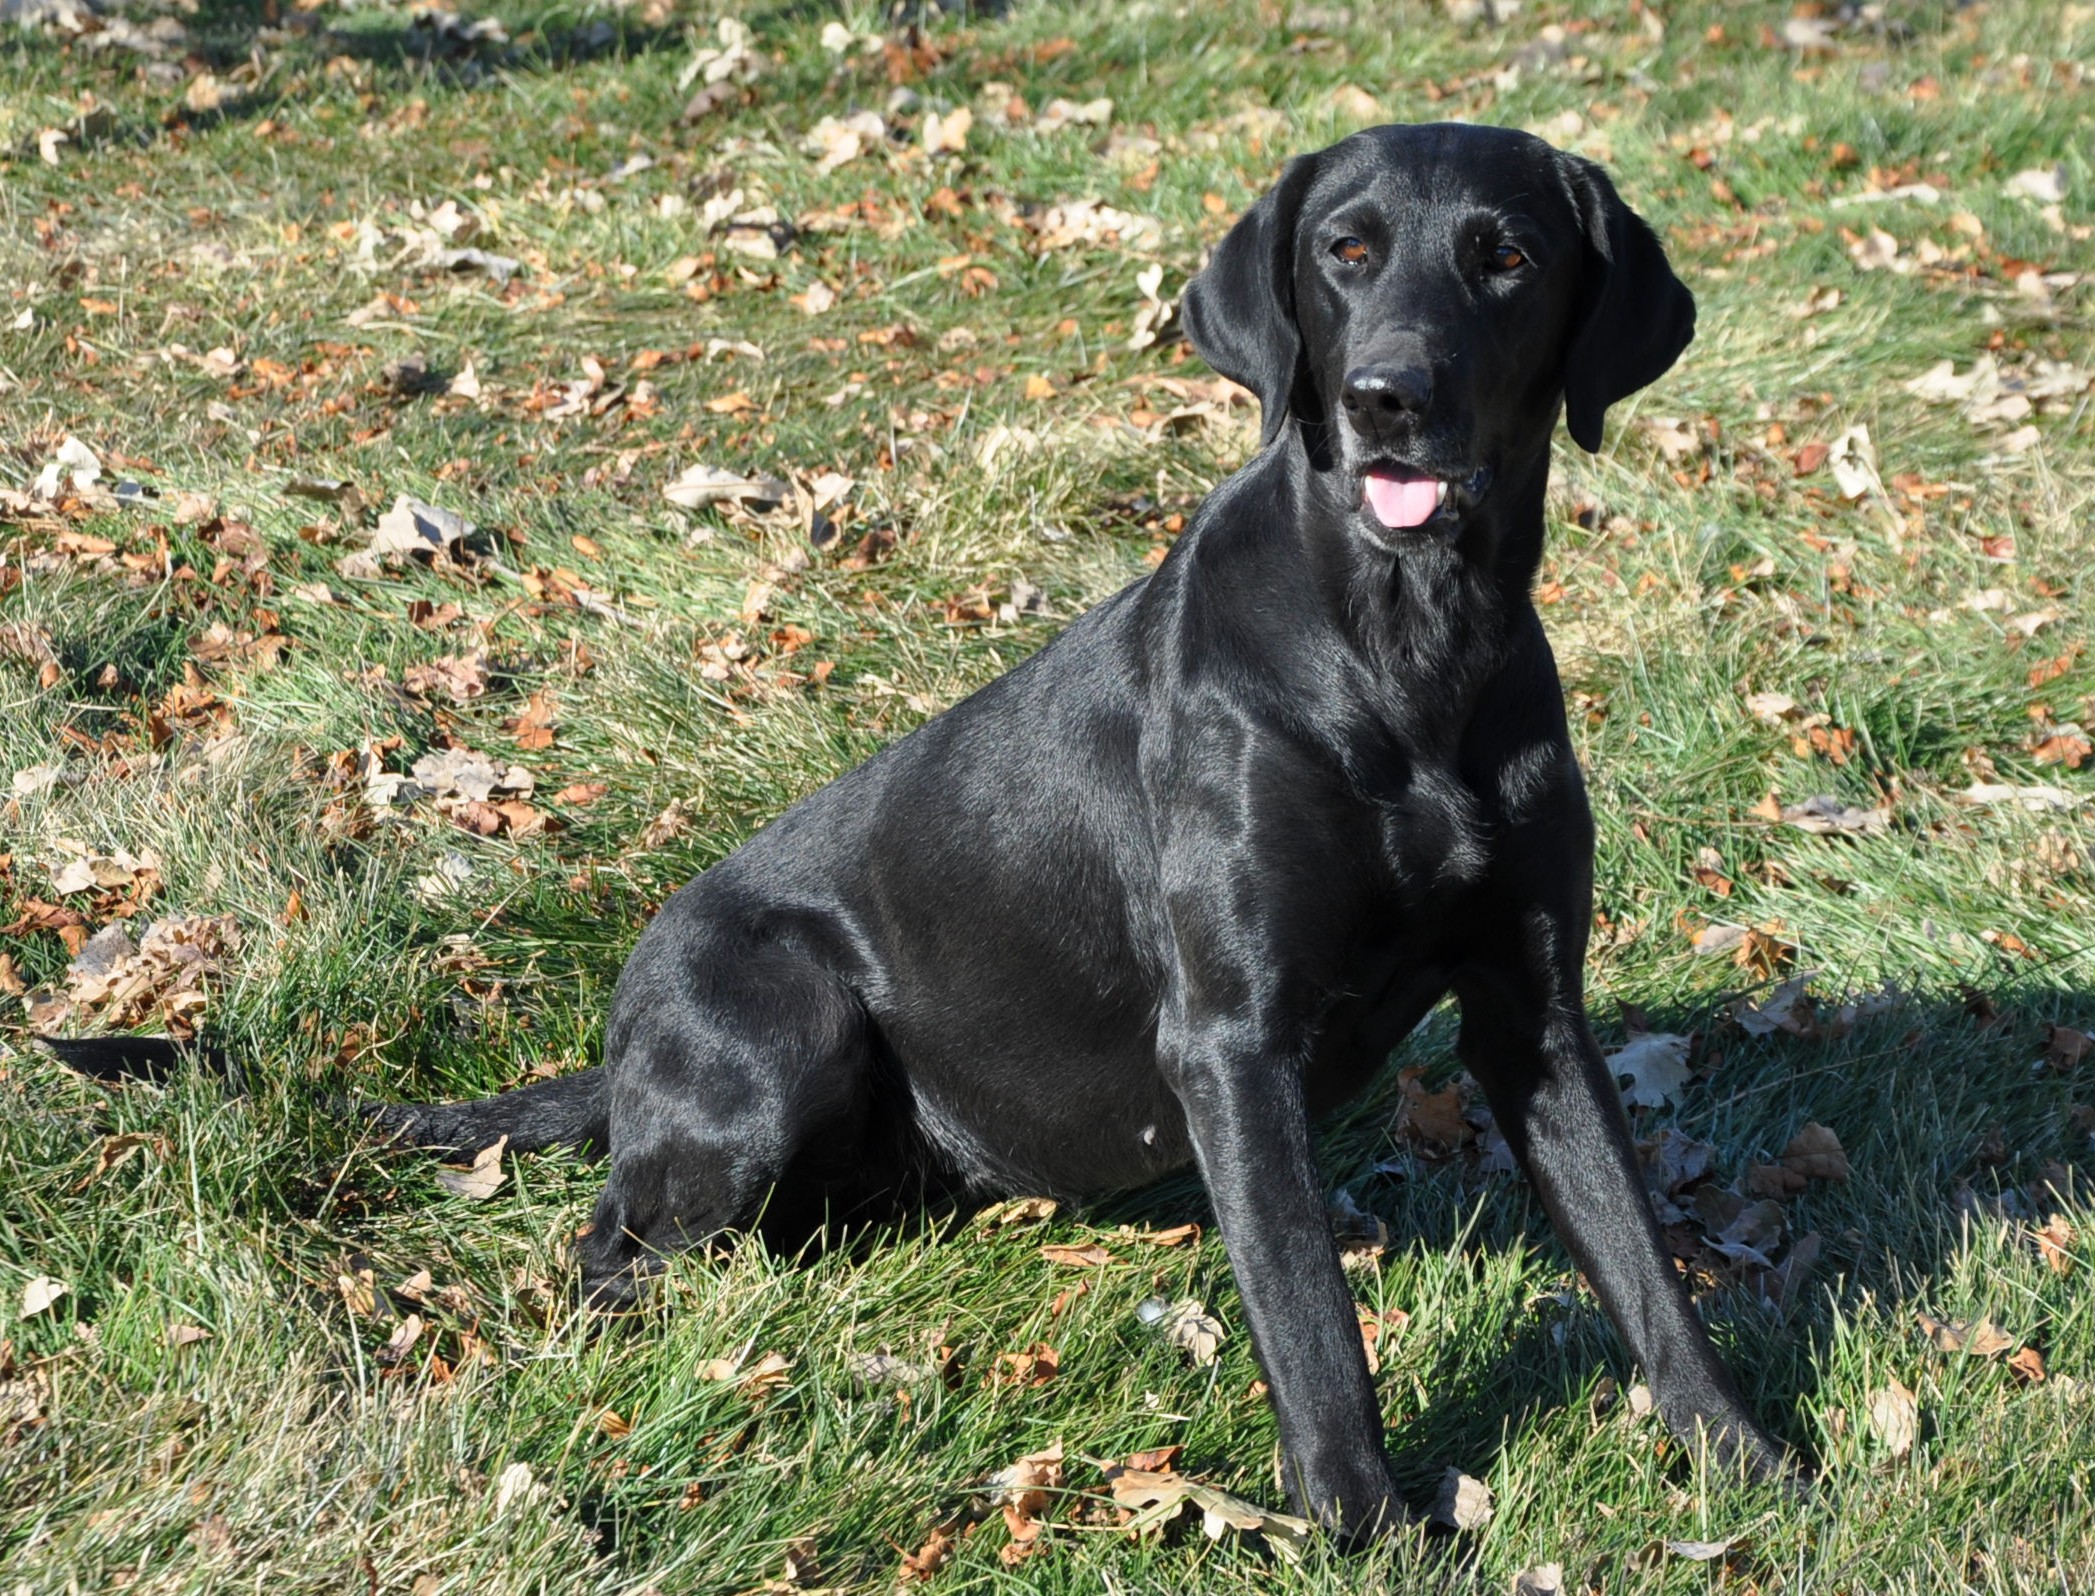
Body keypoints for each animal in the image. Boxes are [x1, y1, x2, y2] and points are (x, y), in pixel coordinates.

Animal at [45, 121, 1784, 1533]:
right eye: (1344, 253)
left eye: (1504, 258)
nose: (1385, 401)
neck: (1406, 652)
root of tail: (616, 1033)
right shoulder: (1233, 1041)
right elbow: (1307, 1319)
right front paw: (1368, 1527)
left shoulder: (1529, 1009)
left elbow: (1640, 1260)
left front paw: (1745, 1462)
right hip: (778, 1027)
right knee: (608, 1234)